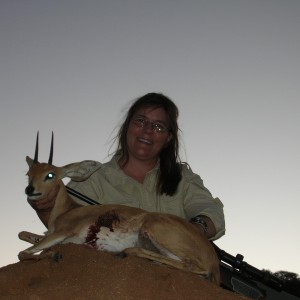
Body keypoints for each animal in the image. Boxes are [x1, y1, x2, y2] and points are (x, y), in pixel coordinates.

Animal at [18, 132, 220, 284]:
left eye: (50, 174)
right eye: (29, 173)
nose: (30, 190)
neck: (66, 210)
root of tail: (213, 260)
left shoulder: (63, 232)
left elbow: (23, 252)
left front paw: (53, 255)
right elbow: (23, 234)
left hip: (153, 227)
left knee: (193, 266)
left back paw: (125, 253)